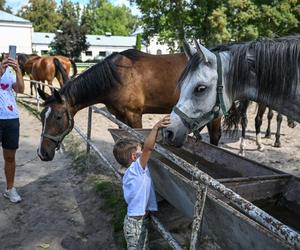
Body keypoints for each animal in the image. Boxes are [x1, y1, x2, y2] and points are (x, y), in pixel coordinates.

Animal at [35, 49, 223, 161]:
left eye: (58, 117)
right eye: (42, 116)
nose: (42, 153)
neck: (116, 77)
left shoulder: (134, 115)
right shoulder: (120, 116)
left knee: (215, 137)